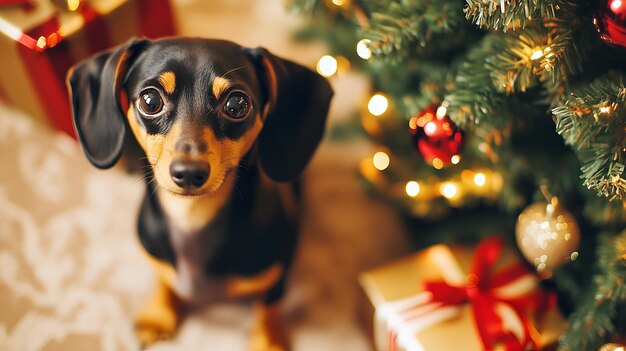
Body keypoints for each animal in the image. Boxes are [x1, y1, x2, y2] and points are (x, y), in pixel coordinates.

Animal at [66, 37, 332, 350]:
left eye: (237, 104)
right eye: (150, 100)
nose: (189, 173)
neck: (192, 217)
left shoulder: (277, 273)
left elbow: (269, 307)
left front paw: (268, 341)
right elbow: (164, 279)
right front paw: (159, 314)